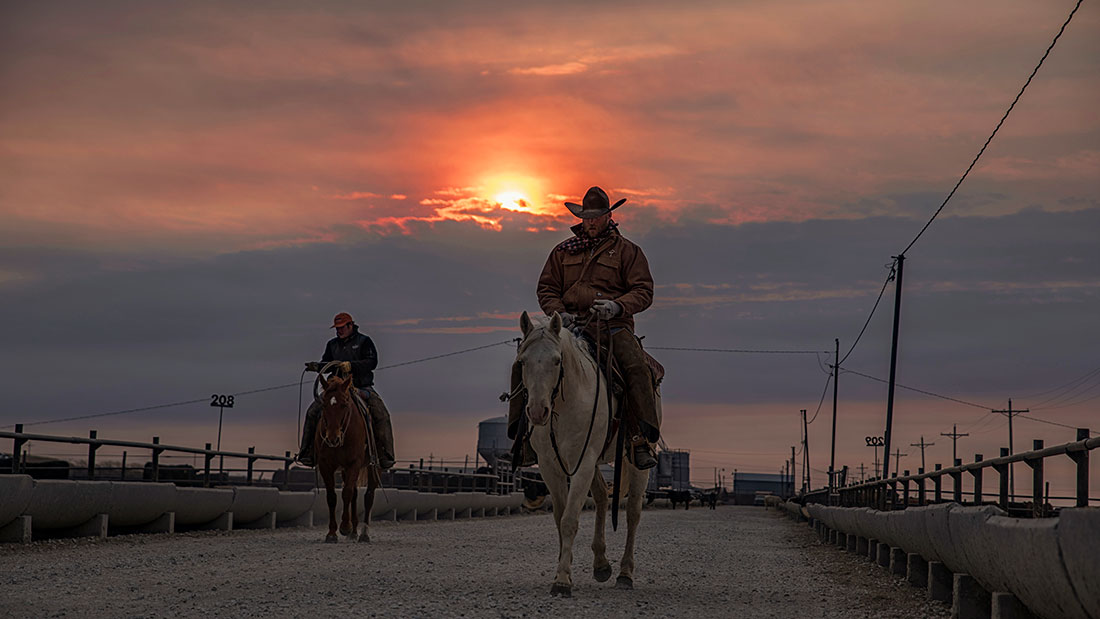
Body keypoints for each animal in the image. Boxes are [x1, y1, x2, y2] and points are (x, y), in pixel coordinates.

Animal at [314, 373, 378, 543]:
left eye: (344, 405)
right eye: (324, 405)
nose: (332, 438)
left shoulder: (354, 463)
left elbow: (347, 492)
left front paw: (344, 527)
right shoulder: (325, 465)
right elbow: (332, 496)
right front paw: (331, 533)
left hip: (373, 466)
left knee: (369, 495)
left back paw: (363, 533)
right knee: (355, 494)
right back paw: (354, 531)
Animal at [514, 312, 651, 598]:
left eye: (557, 360)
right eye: (522, 361)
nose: (537, 412)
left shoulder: (583, 461)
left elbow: (569, 519)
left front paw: (562, 581)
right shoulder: (550, 466)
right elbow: (560, 517)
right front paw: (562, 570)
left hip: (635, 463)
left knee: (633, 512)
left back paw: (625, 574)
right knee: (600, 496)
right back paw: (601, 564)